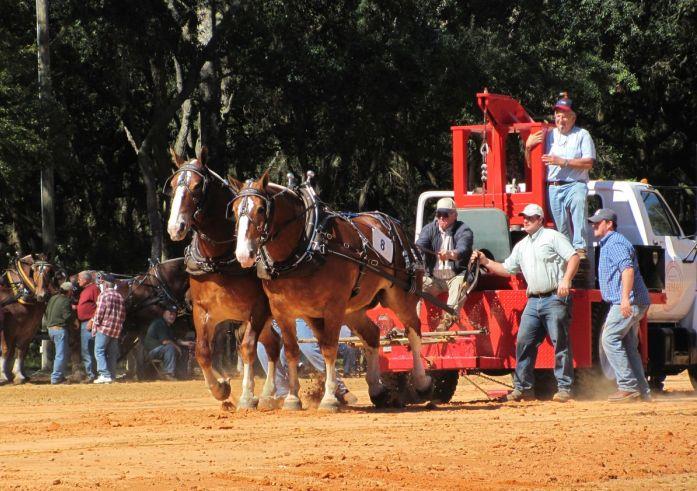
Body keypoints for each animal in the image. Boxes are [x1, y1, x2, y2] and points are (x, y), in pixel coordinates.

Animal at [0, 254, 57, 384]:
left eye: (49, 271)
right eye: (33, 271)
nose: (42, 295)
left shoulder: (29, 328)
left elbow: (21, 350)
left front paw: (20, 375)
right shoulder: (8, 327)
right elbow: (6, 349)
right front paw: (4, 376)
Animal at [165, 149, 280, 409]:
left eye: (197, 186)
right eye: (174, 185)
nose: (176, 227)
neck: (218, 259)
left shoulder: (258, 309)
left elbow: (247, 348)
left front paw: (246, 394)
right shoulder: (204, 311)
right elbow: (202, 351)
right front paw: (220, 388)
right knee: (274, 343)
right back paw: (269, 392)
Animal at [231, 171, 433, 411]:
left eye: (261, 209)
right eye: (234, 209)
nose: (244, 254)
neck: (308, 245)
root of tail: (394, 224)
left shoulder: (334, 306)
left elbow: (329, 349)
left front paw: (328, 398)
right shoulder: (282, 310)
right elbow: (290, 351)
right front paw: (292, 398)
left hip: (400, 297)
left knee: (414, 332)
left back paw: (422, 383)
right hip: (353, 310)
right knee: (372, 335)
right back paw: (377, 389)